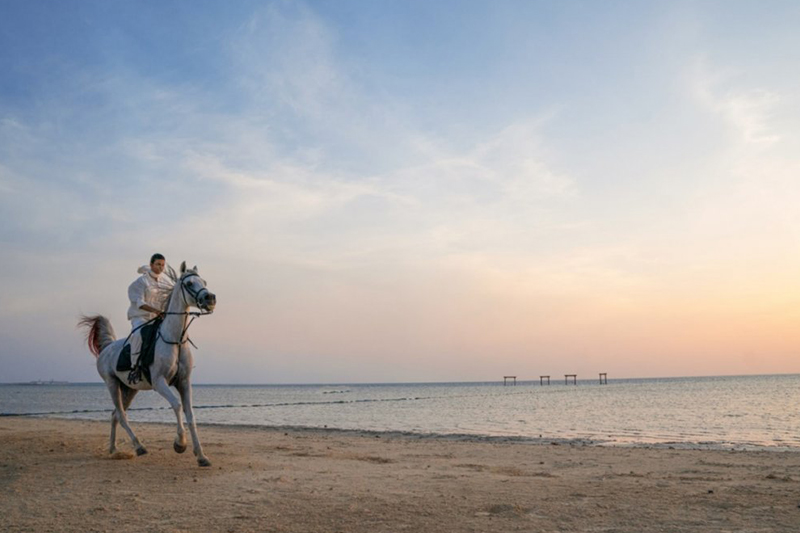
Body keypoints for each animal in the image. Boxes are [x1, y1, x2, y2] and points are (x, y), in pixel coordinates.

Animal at [79, 262, 216, 466]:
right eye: (189, 283)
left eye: (204, 282)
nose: (210, 298)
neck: (175, 340)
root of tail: (108, 347)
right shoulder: (160, 382)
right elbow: (177, 405)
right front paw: (180, 444)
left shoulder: (184, 382)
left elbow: (191, 415)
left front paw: (201, 456)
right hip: (112, 384)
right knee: (121, 415)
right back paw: (138, 447)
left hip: (129, 389)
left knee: (114, 415)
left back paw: (114, 450)